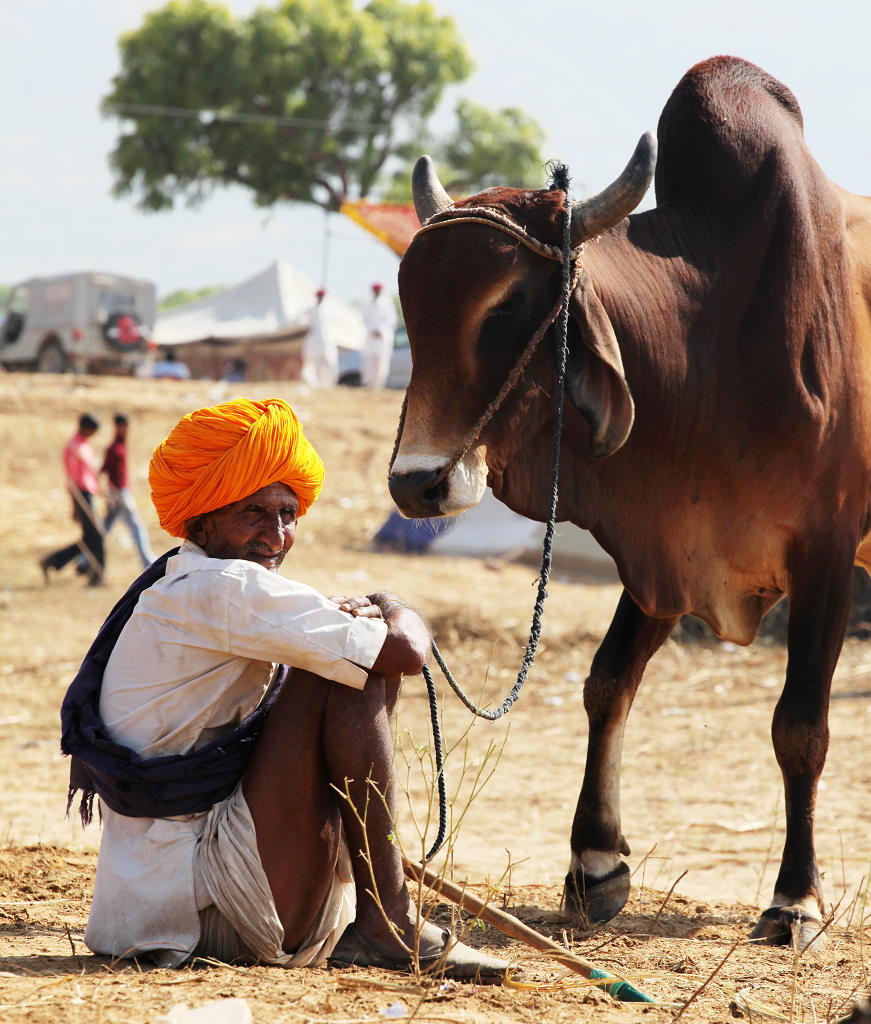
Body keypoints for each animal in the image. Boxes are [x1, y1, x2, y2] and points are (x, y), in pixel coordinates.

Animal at [390, 56, 871, 950]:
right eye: (409, 306)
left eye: (506, 307)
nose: (415, 483)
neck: (715, 338)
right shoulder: (665, 551)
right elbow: (607, 681)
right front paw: (595, 864)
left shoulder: (824, 551)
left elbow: (800, 727)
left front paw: (795, 898)